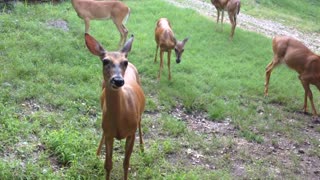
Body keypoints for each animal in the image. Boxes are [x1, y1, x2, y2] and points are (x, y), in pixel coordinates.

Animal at [84, 33, 146, 179]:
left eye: (125, 62)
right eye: (105, 61)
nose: (118, 80)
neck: (120, 118)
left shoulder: (131, 133)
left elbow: (126, 163)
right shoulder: (109, 133)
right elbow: (108, 164)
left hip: (140, 113)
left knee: (140, 123)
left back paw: (142, 147)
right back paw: (97, 153)